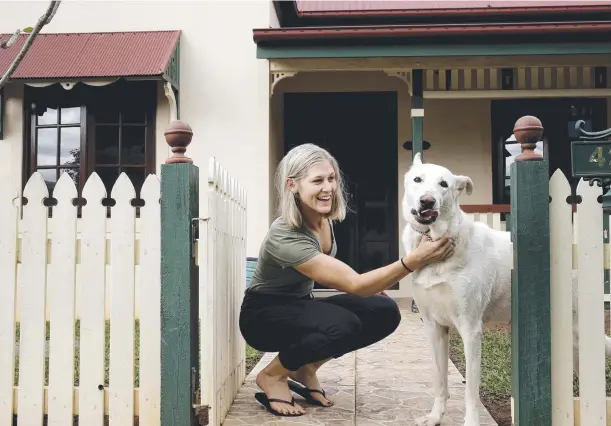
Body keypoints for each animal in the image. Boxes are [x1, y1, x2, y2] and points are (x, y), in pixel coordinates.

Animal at [402, 153, 611, 426]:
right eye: (418, 179)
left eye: (444, 184)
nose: (427, 201)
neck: (434, 241)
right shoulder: (434, 327)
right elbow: (440, 381)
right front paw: (435, 417)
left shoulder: (470, 329)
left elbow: (470, 391)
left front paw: (471, 422)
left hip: (577, 333)